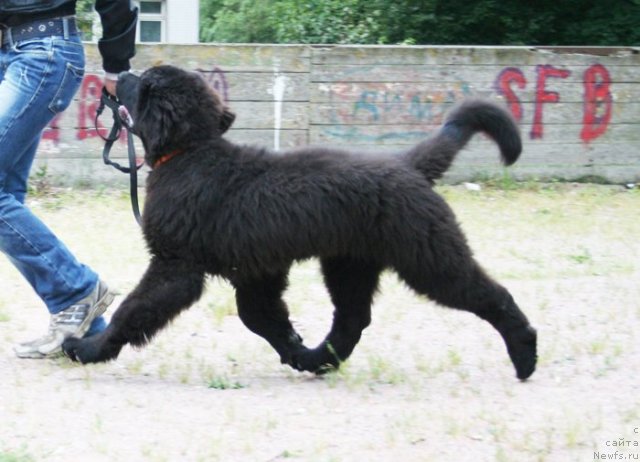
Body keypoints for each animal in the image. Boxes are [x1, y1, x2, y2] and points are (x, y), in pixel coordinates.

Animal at [63, 67, 536, 380]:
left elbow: (133, 309)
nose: (115, 75)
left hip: (428, 257)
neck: (191, 151)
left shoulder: (176, 265)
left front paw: (87, 348)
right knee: (352, 319)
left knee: (493, 296)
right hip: (350, 264)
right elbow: (263, 319)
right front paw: (294, 350)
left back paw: (525, 355)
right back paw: (318, 360)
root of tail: (408, 165)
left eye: (141, 81)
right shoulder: (255, 274)